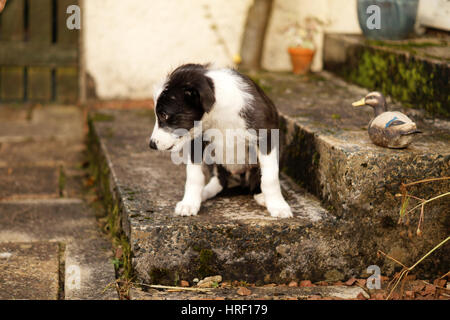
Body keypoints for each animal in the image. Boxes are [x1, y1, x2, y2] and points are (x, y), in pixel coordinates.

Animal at [149, 63, 294, 218]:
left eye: (164, 115)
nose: (151, 144)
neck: (219, 112)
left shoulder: (266, 137)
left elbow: (270, 177)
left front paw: (278, 206)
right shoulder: (196, 142)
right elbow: (194, 175)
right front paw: (189, 203)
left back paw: (261, 196)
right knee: (219, 179)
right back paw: (205, 192)